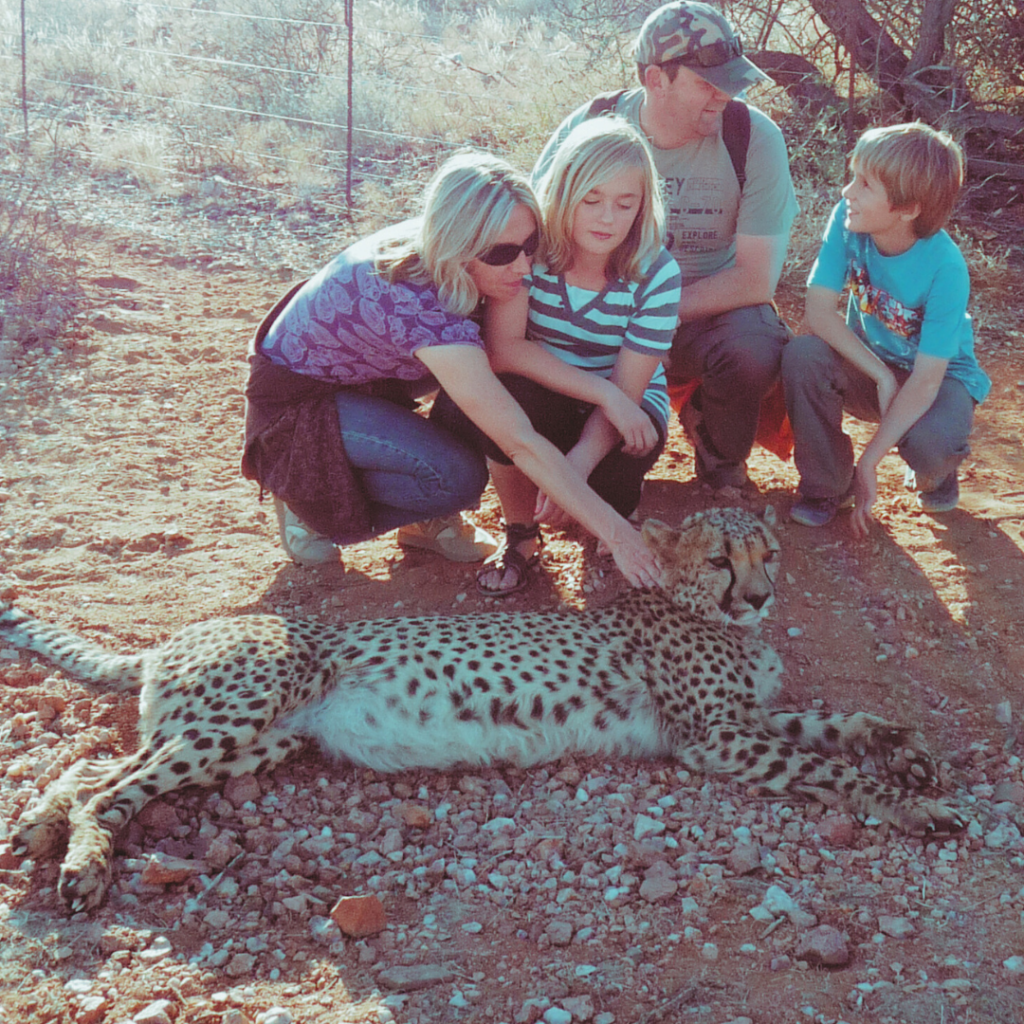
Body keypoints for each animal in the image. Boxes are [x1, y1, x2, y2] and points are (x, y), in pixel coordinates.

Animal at [0, 505, 958, 913]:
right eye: (722, 559)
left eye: (768, 554)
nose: (760, 598)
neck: (696, 610)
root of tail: (188, 631)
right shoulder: (715, 738)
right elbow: (829, 764)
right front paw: (915, 806)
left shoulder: (749, 722)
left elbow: (852, 726)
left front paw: (913, 758)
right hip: (237, 718)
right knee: (106, 787)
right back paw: (81, 863)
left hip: (257, 743)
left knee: (100, 765)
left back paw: (40, 827)